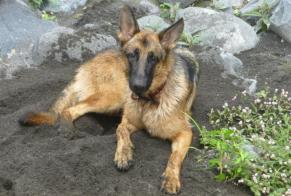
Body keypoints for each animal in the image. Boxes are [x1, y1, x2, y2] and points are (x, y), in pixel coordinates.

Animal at [19, 5, 200, 194]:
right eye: (132, 55)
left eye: (153, 58)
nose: (138, 86)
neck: (149, 100)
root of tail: (89, 62)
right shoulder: (128, 120)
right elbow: (120, 129)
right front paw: (124, 153)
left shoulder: (185, 133)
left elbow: (174, 157)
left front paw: (171, 178)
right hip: (112, 99)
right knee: (70, 109)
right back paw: (68, 128)